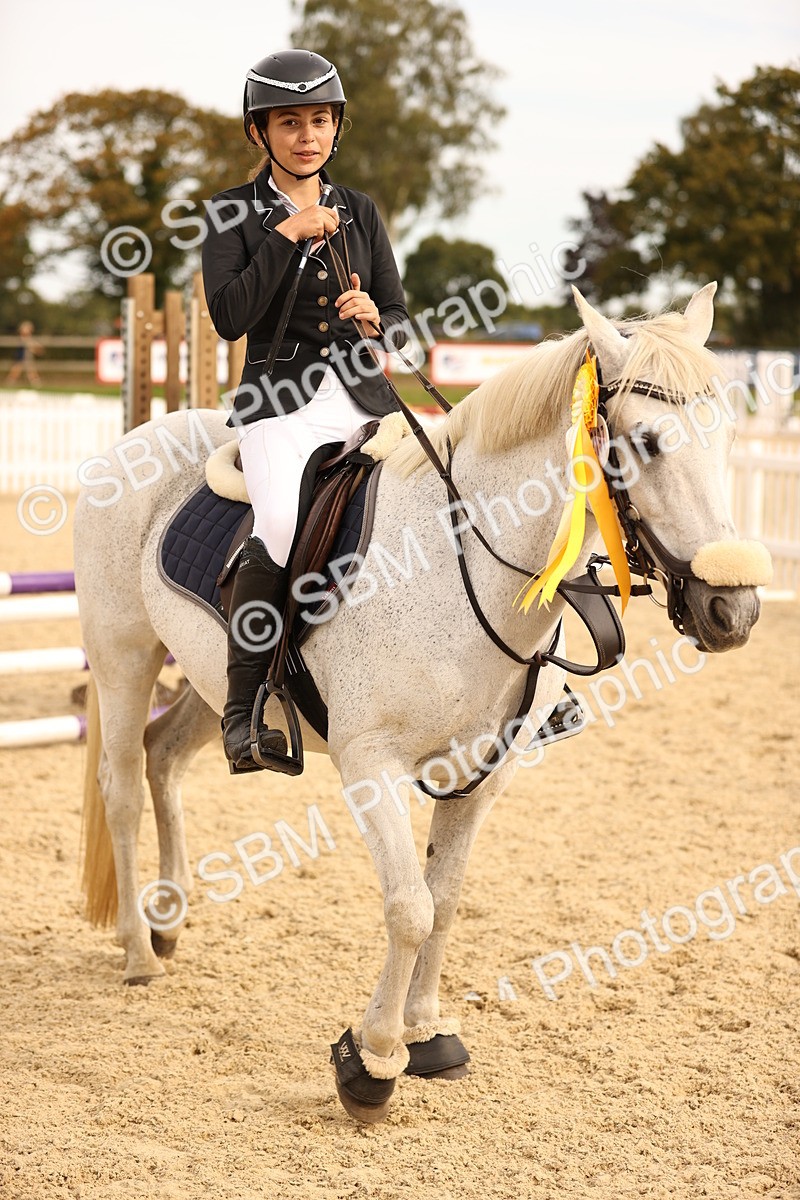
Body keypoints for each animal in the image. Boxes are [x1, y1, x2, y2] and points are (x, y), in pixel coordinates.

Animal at [75, 284, 770, 1122]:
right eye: (646, 443)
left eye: (725, 436)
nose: (733, 612)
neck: (465, 563)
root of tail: (138, 438)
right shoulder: (370, 763)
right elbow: (409, 907)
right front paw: (370, 1061)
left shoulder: (481, 774)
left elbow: (446, 898)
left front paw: (427, 1033)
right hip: (124, 657)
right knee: (120, 783)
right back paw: (138, 952)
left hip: (214, 692)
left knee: (165, 757)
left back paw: (168, 919)